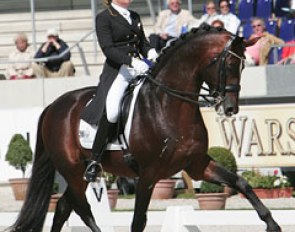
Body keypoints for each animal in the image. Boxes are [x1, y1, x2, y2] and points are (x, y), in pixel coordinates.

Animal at [9, 25, 282, 232]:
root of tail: (53, 106)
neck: (168, 105)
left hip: (78, 173)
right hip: (73, 170)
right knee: (81, 208)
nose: (230, 108)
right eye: (229, 64)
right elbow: (138, 221)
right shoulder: (148, 175)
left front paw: (272, 224)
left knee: (64, 207)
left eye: (244, 65)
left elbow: (240, 182)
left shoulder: (197, 164)